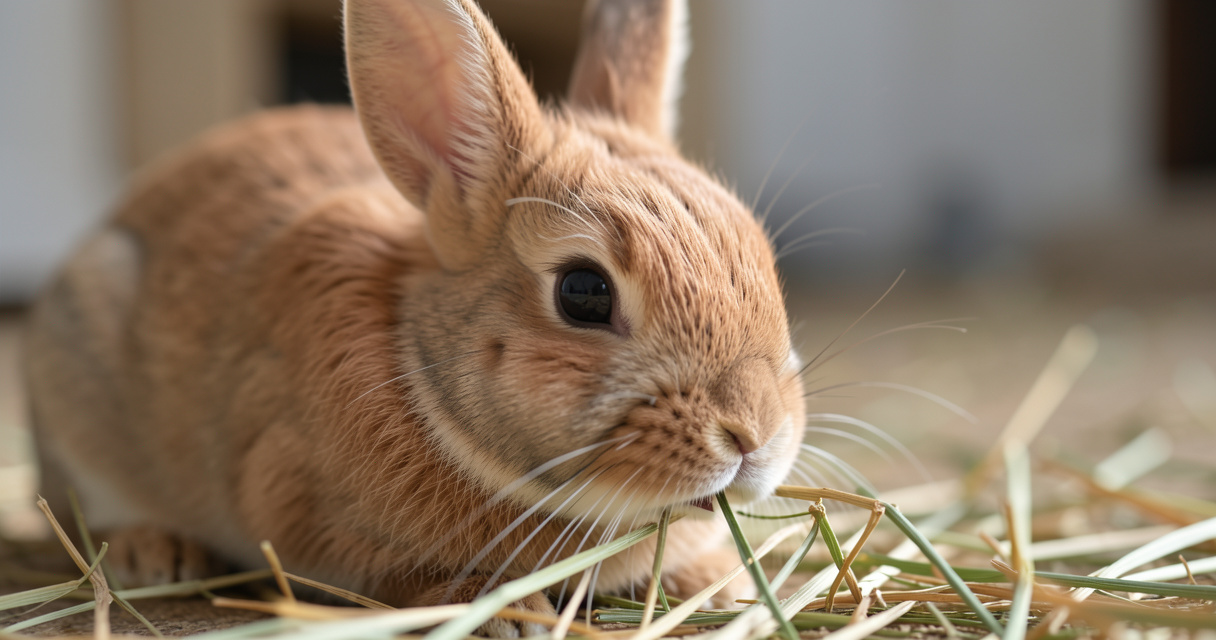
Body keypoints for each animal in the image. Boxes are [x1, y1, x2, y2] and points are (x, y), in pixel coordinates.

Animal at [24, 0, 807, 633]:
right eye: (584, 293)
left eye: (762, 258)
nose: (754, 434)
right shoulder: (313, 519)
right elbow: (402, 576)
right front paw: (504, 616)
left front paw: (716, 584)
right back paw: (156, 551)